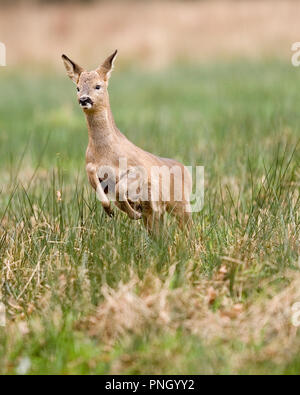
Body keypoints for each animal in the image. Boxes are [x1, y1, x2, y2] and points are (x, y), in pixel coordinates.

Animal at [62, 50, 192, 234]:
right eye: (77, 87)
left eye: (98, 86)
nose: (84, 99)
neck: (106, 153)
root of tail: (185, 169)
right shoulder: (92, 171)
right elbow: (105, 194)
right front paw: (114, 211)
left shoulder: (136, 169)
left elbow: (120, 189)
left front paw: (132, 212)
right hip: (157, 215)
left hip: (181, 203)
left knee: (188, 227)